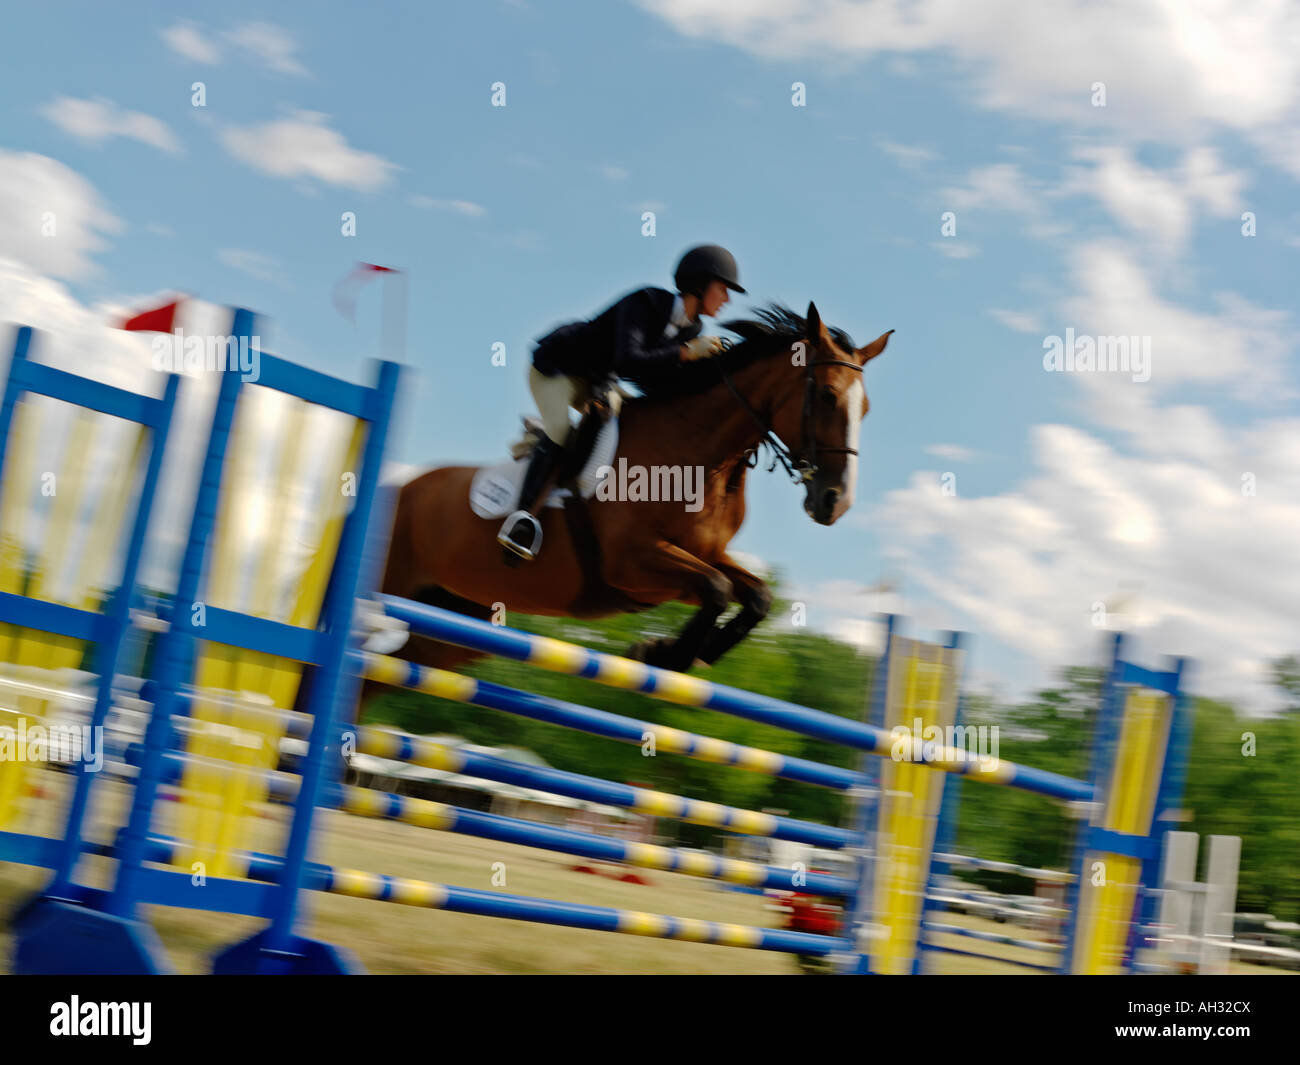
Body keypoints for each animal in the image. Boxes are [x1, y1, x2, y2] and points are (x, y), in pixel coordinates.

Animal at [371, 304, 889, 681]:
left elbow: (755, 595)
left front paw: (683, 653)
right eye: (826, 395)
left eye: (865, 407)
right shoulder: (631, 561)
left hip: (451, 620)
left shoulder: (694, 561)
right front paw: (664, 655)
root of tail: (398, 487)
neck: (701, 455)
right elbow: (718, 589)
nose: (835, 502)